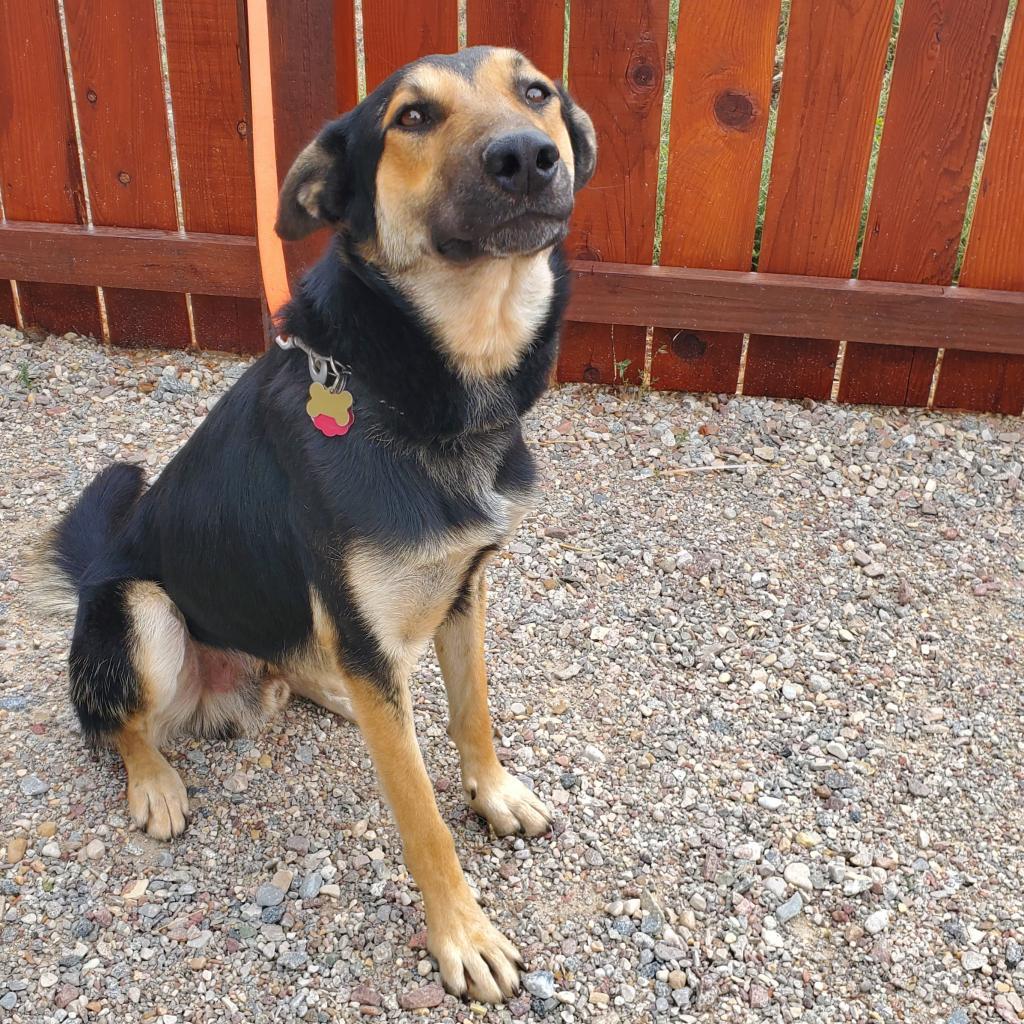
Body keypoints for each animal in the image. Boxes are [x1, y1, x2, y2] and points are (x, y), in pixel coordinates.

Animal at [28, 46, 598, 999]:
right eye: (412, 117)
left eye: (536, 92)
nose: (527, 157)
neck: (408, 386)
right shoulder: (371, 628)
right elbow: (421, 818)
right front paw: (463, 935)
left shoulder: (463, 587)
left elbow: (473, 711)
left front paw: (493, 793)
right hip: (139, 607)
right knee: (117, 725)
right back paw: (155, 782)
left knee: (300, 665)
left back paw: (324, 689)